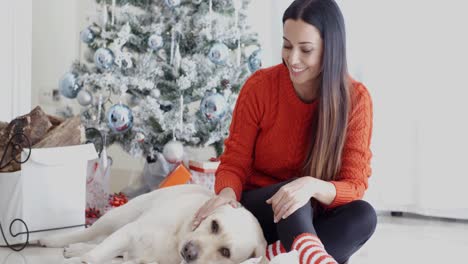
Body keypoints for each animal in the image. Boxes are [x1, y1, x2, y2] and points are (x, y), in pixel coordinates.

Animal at [39, 185, 266, 262]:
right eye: (214, 225)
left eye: (225, 252)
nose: (189, 252)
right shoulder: (130, 232)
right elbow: (96, 254)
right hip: (119, 216)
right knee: (89, 234)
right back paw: (53, 240)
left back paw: (75, 249)